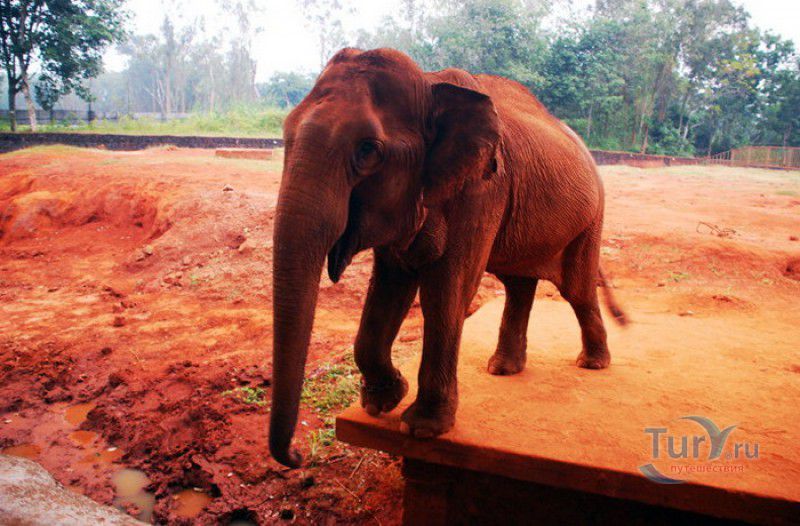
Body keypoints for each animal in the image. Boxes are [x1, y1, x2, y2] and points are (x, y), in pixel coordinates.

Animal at [269, 47, 626, 468]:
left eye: (368, 150)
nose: (297, 455)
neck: (429, 83)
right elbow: (390, 285)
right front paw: (382, 403)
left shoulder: (482, 189)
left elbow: (446, 291)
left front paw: (422, 429)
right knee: (519, 285)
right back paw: (502, 370)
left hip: (590, 219)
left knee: (577, 290)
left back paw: (591, 364)